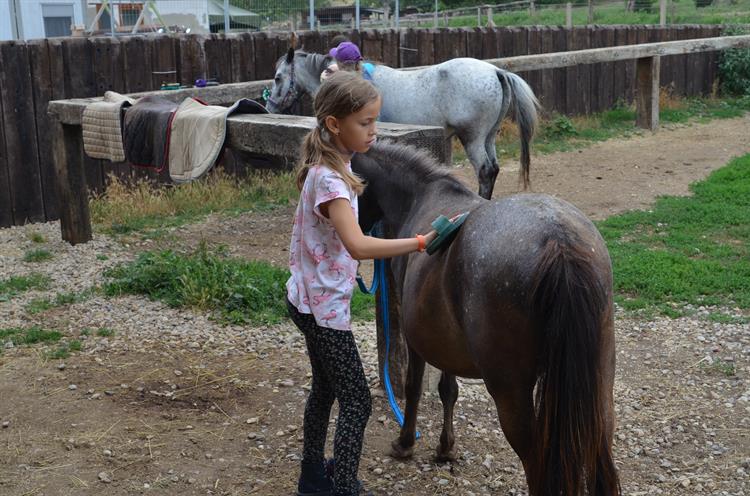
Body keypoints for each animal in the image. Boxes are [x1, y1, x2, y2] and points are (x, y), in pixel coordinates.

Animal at [352, 141, 624, 494]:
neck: (418, 198)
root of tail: (558, 241)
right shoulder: (444, 342)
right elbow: (448, 390)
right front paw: (445, 448)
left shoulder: (418, 342)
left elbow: (413, 387)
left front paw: (406, 443)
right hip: (598, 386)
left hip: (511, 392)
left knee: (535, 462)